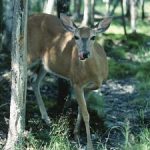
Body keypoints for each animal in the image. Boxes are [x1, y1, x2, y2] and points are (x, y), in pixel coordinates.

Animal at [27, 13, 111, 149]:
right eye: (76, 37)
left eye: (93, 37)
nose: (84, 54)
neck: (95, 75)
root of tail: (30, 17)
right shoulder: (76, 83)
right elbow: (86, 114)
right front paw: (89, 145)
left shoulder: (88, 88)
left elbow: (81, 110)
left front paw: (76, 134)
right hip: (29, 53)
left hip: (46, 64)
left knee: (34, 82)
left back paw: (47, 119)